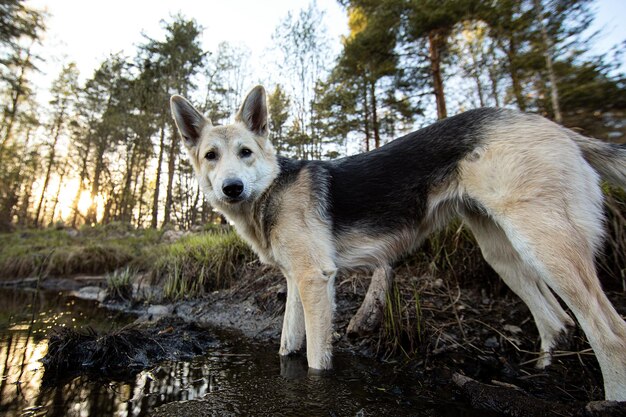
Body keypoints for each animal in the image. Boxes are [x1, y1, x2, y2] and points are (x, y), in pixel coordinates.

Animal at [169, 84, 624, 400]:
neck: (269, 190)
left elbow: (315, 359)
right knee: (557, 320)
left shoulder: (315, 281)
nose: (231, 188)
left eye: (246, 152)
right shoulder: (297, 284)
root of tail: (557, 126)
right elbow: (286, 347)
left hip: (546, 246)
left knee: (611, 334)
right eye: (211, 156)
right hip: (504, 253)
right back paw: (541, 373)